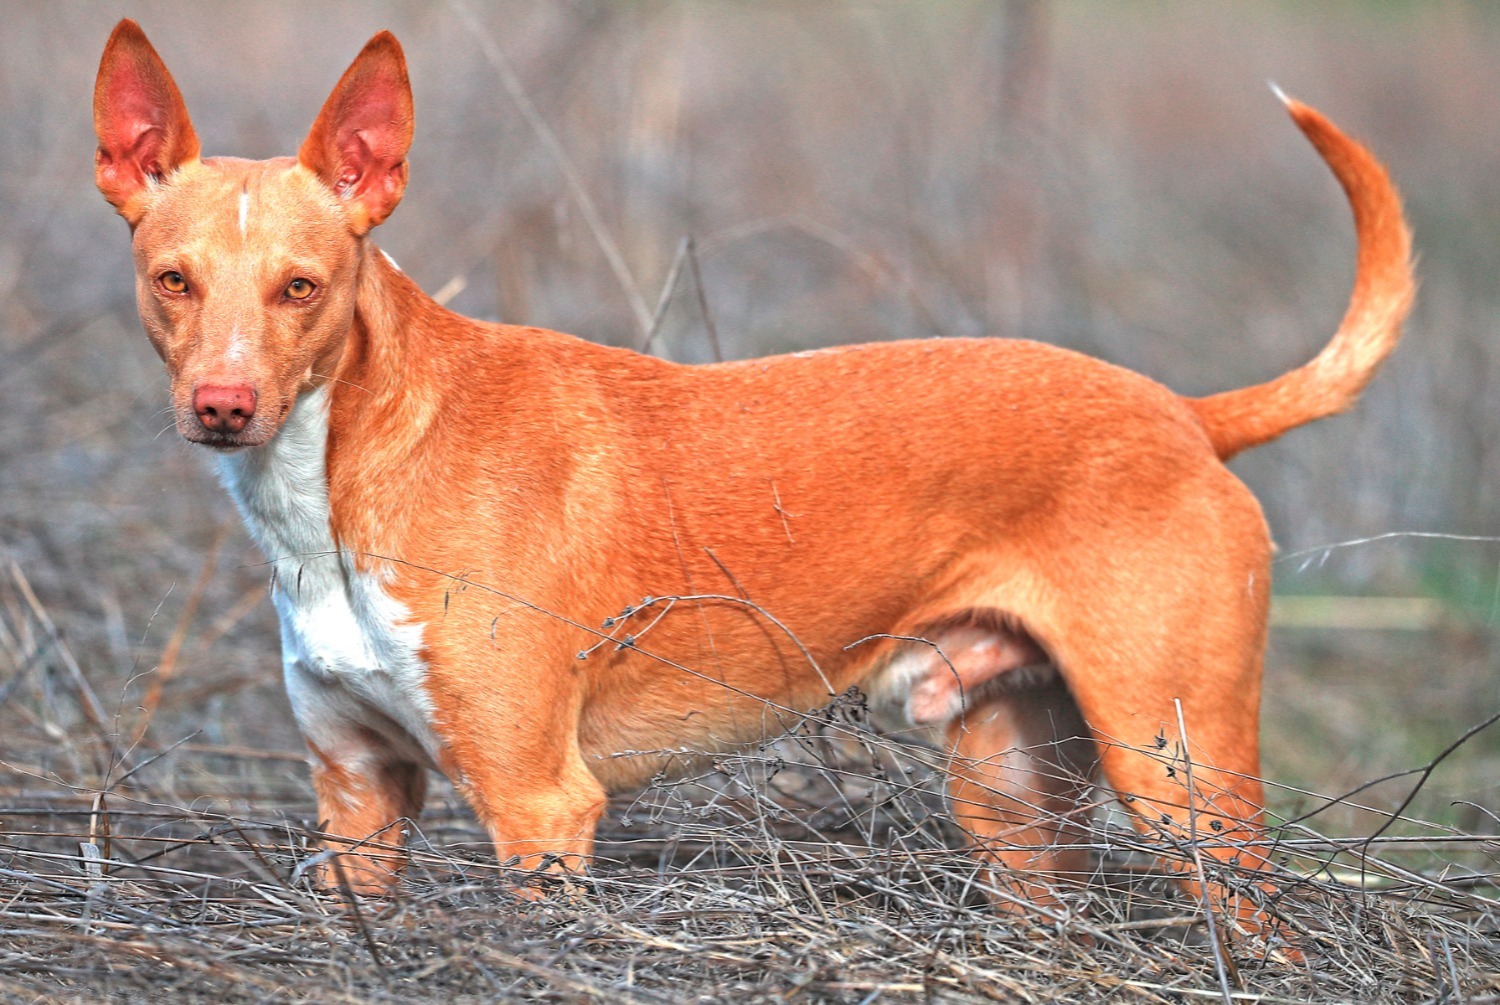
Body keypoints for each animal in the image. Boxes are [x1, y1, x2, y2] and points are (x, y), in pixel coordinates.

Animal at [96, 17, 1416, 948]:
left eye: (302, 288)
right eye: (172, 280)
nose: (223, 408)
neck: (350, 470)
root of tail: (1185, 415)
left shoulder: (541, 808)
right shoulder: (359, 800)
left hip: (1184, 782)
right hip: (1012, 797)